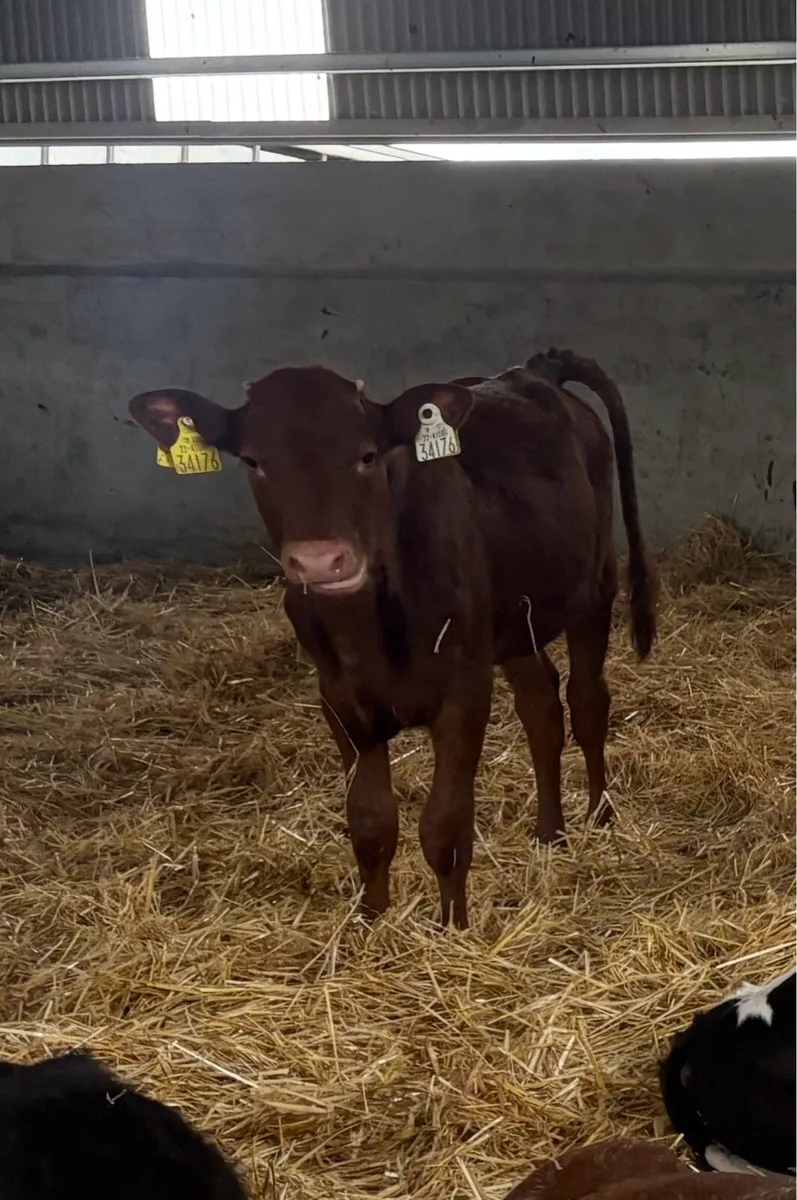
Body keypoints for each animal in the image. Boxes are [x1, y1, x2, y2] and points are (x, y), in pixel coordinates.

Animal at [129, 347, 657, 929]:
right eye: (252, 460)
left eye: (367, 455)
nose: (321, 560)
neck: (369, 632)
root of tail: (532, 371)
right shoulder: (339, 699)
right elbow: (369, 823)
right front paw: (370, 922)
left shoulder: (463, 691)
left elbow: (444, 825)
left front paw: (452, 929)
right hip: (514, 618)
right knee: (540, 704)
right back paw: (549, 832)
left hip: (594, 586)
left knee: (587, 702)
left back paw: (599, 816)